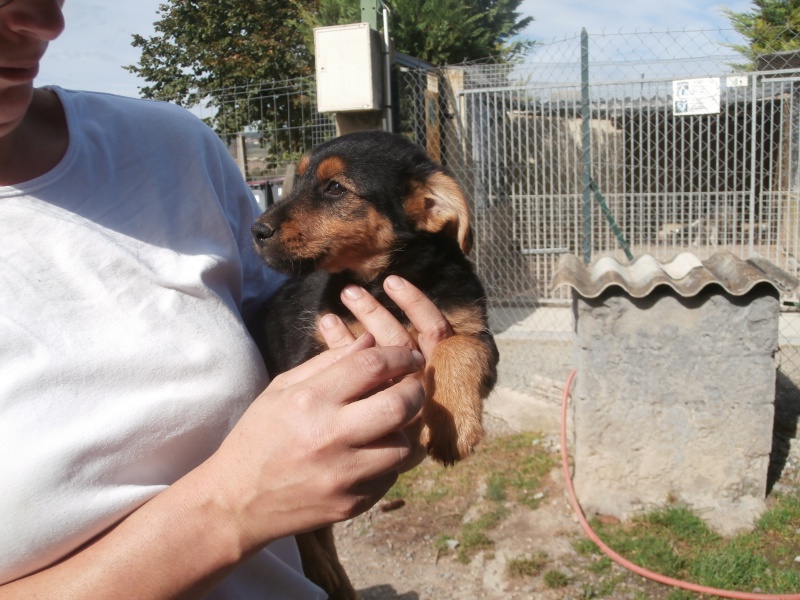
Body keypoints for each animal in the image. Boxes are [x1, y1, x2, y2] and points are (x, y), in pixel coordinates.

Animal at [250, 131, 500, 600]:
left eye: (334, 188)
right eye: (299, 178)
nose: (256, 230)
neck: (381, 281)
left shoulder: (477, 330)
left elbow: (457, 347)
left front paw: (452, 424)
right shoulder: (315, 353)